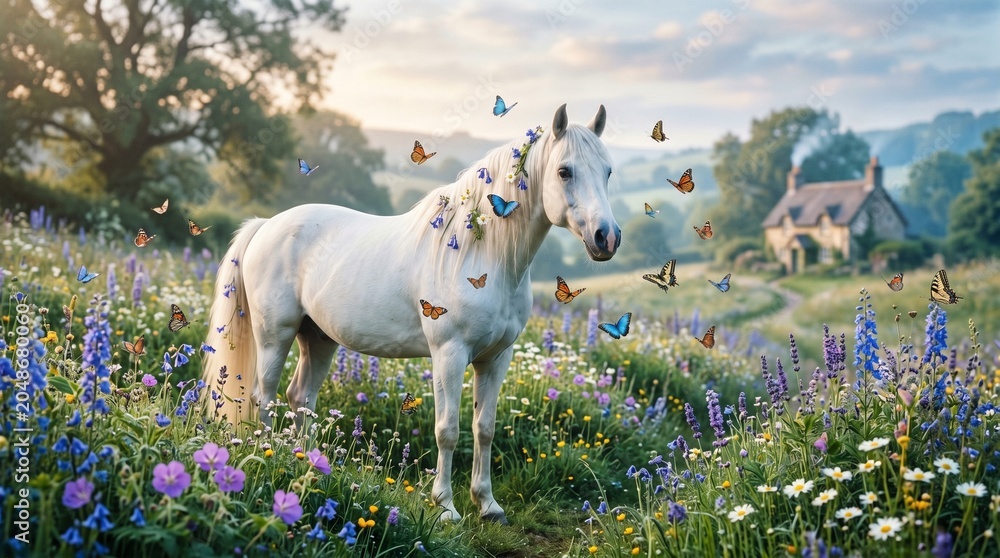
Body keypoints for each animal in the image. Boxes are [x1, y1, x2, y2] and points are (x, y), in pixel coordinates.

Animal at [201, 103, 621, 524]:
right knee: (265, 397)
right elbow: (448, 429)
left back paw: (306, 461)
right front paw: (446, 507)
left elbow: (484, 428)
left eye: (608, 171)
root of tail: (266, 226)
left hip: (318, 339)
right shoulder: (449, 354)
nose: (607, 238)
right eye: (564, 171)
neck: (485, 255)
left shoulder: (496, 358)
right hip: (275, 336)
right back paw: (272, 454)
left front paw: (487, 505)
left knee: (300, 398)